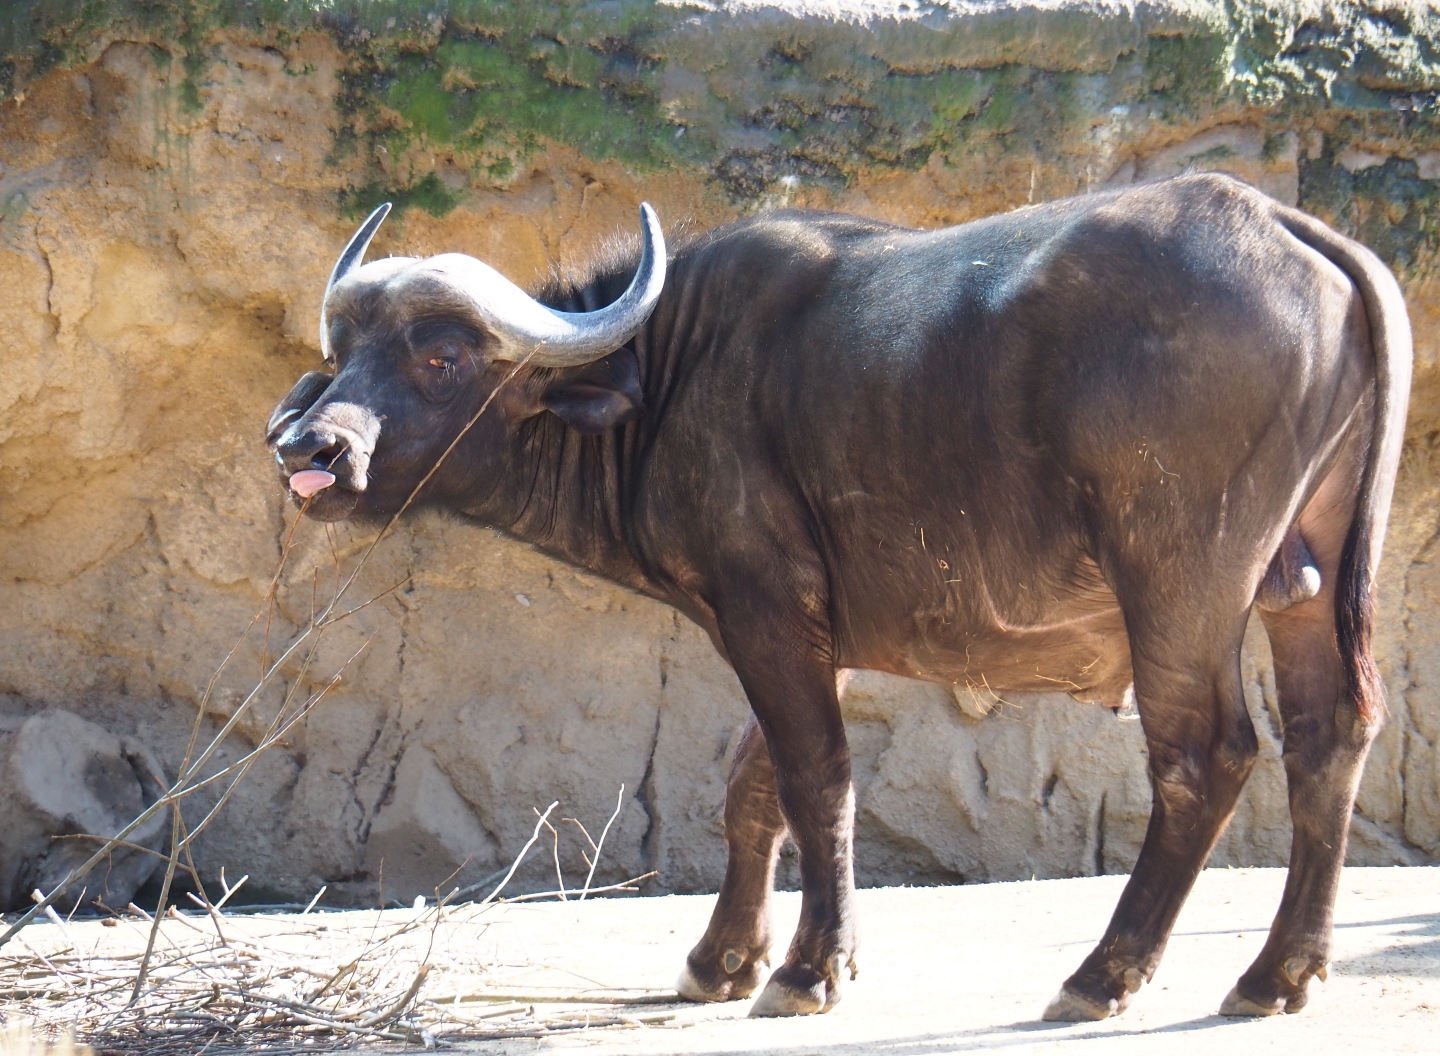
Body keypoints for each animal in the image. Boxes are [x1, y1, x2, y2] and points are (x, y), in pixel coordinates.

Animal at [266, 173, 1410, 1021]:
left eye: (442, 355)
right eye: (342, 355)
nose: (311, 451)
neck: (672, 373)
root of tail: (1291, 228)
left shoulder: (767, 612)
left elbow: (818, 781)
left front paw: (810, 967)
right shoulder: (815, 633)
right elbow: (753, 787)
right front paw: (722, 960)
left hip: (1181, 581)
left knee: (1206, 754)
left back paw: (1104, 975)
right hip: (1306, 584)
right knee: (1331, 734)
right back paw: (1277, 974)